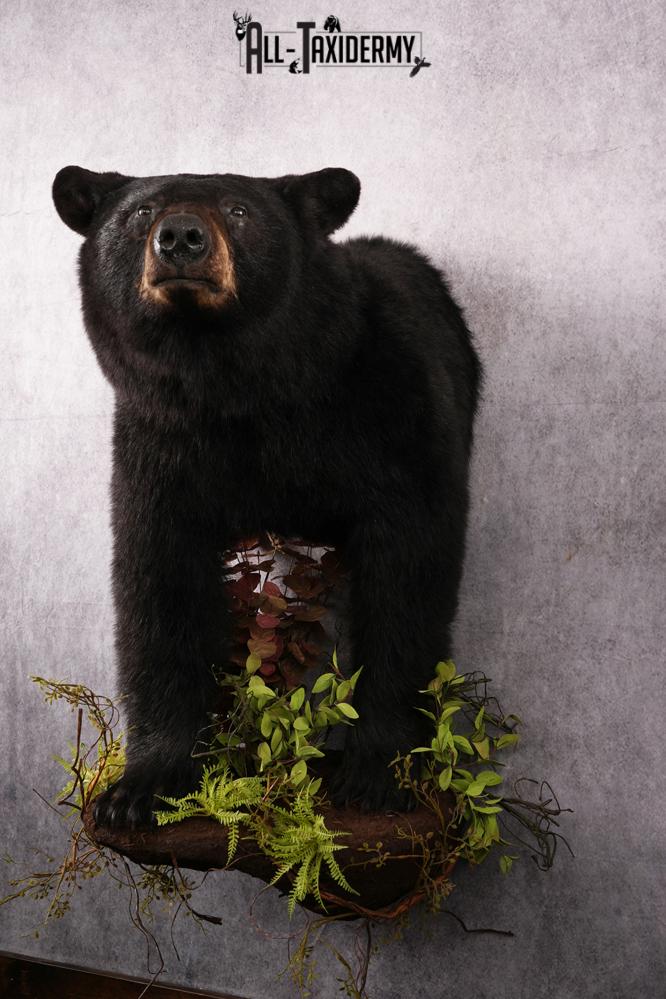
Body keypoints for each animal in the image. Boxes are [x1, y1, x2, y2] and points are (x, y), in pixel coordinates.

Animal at [52, 164, 482, 827]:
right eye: (141, 211)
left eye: (238, 209)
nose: (180, 236)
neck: (241, 387)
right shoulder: (162, 446)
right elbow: (158, 584)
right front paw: (141, 787)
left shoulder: (393, 415)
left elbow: (408, 573)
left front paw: (376, 773)